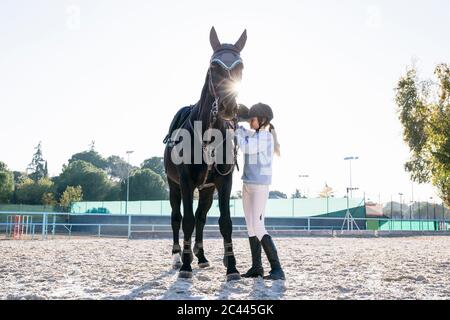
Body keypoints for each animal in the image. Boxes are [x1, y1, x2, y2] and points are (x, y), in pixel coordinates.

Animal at [163, 28, 246, 282]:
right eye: (214, 66)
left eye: (241, 66)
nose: (228, 107)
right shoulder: (186, 181)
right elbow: (187, 220)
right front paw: (185, 265)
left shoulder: (223, 181)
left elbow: (225, 222)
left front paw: (232, 268)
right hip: (173, 185)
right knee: (177, 218)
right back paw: (178, 257)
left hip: (207, 190)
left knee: (201, 217)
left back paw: (200, 256)